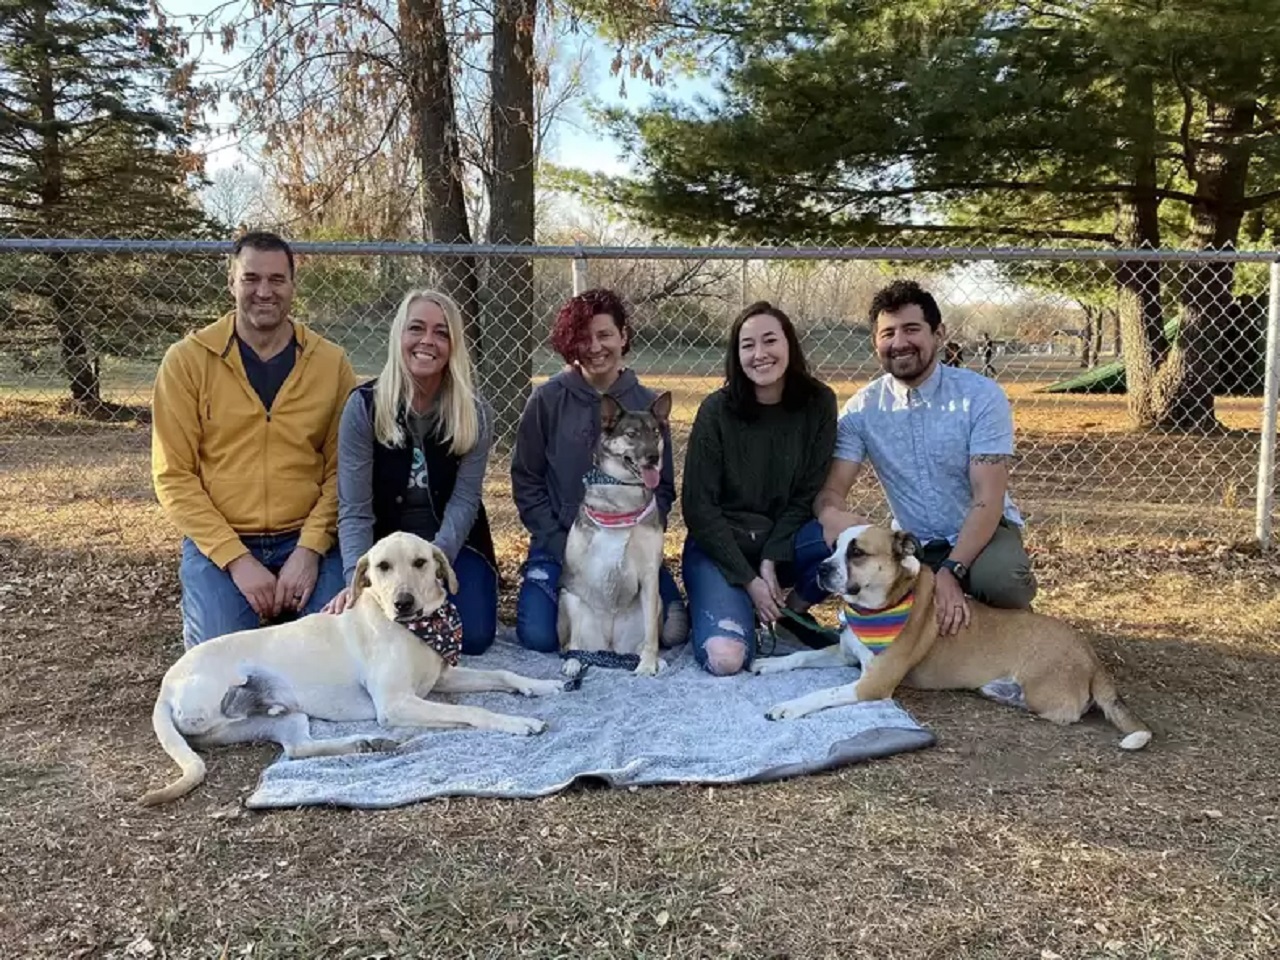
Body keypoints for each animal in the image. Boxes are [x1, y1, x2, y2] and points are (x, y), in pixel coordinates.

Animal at [141, 529, 565, 808]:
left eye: (420, 562)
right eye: (382, 567)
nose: (403, 603)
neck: (415, 629)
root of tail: (165, 687)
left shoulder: (443, 679)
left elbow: (504, 675)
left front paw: (543, 685)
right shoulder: (395, 704)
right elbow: (475, 711)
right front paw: (518, 722)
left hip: (284, 719)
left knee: (297, 748)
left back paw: (365, 743)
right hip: (218, 692)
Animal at [747, 527, 1157, 752]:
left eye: (857, 552)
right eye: (833, 546)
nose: (821, 568)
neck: (883, 606)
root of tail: (1092, 657)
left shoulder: (872, 683)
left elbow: (822, 693)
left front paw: (787, 707)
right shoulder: (846, 654)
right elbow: (799, 657)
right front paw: (768, 663)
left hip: (1045, 692)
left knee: (1067, 713)